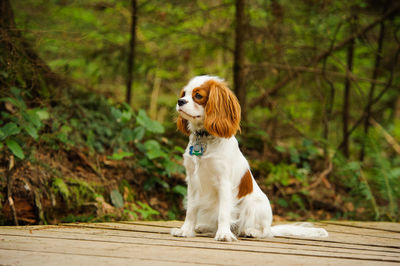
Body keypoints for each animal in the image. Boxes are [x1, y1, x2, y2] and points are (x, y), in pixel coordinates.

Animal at [172, 75, 328, 241]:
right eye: (184, 93)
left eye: (198, 95)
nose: (180, 101)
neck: (205, 137)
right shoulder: (193, 181)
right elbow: (191, 210)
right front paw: (186, 230)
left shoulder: (224, 182)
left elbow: (223, 212)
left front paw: (224, 234)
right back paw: (203, 227)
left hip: (255, 205)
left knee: (264, 231)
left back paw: (251, 231)